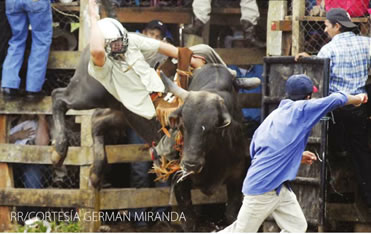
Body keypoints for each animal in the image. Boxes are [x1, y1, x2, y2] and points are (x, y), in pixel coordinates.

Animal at [51, 46, 256, 231]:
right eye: (182, 125)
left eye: (213, 128)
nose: (190, 164)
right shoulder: (179, 182)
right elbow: (190, 222)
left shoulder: (237, 178)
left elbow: (231, 217)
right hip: (86, 93)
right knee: (58, 97)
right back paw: (58, 149)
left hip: (121, 111)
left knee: (97, 120)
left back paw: (95, 172)